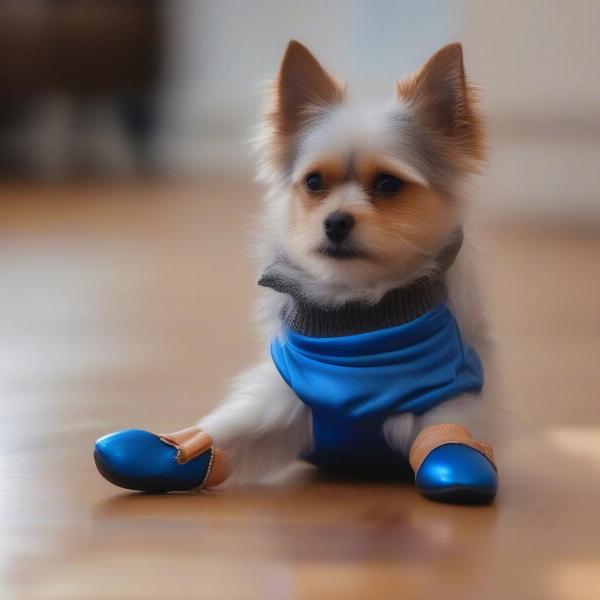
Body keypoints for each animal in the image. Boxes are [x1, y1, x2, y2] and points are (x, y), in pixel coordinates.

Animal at [94, 39, 496, 504]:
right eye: (315, 182)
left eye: (388, 184)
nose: (335, 222)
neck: (357, 315)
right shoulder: (281, 404)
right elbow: (220, 435)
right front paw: (158, 453)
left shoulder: (451, 396)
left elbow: (447, 437)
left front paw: (459, 469)